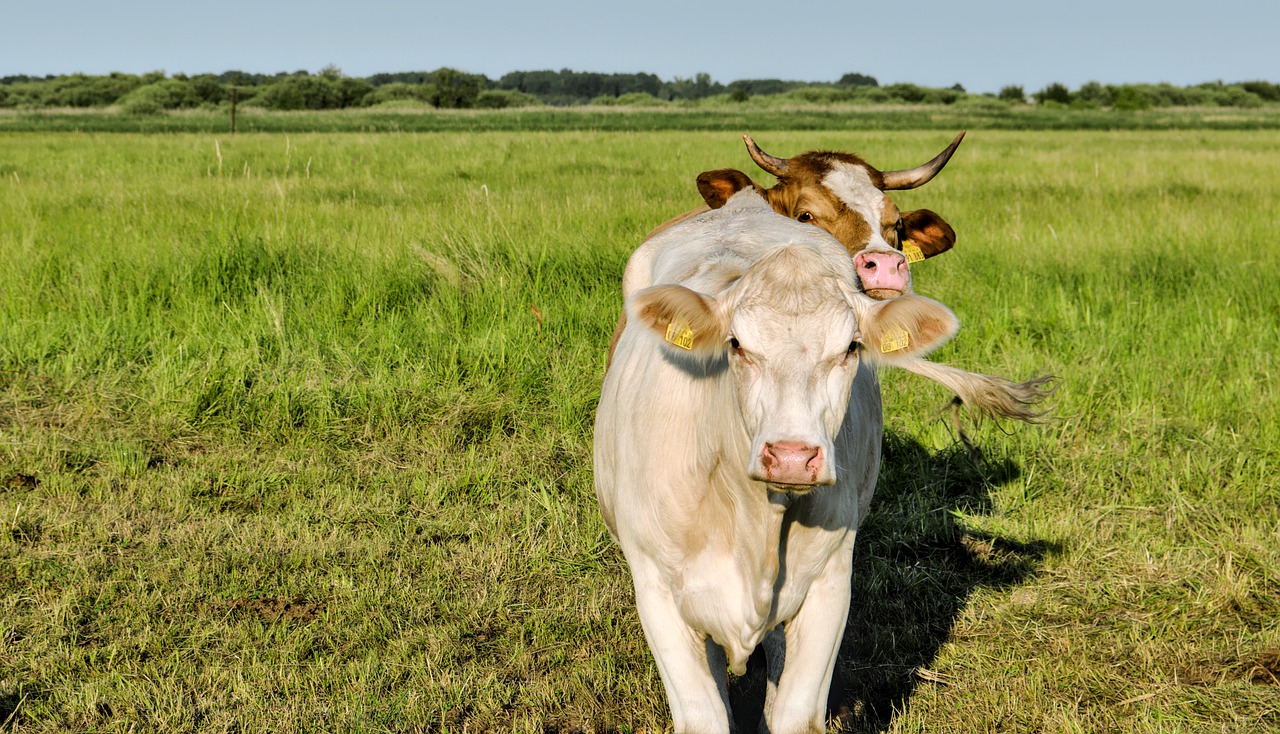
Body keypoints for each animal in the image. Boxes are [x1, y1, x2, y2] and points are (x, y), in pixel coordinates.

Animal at [593, 190, 1044, 732]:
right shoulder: (657, 590)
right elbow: (705, 716)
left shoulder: (830, 584)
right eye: (737, 345)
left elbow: (795, 712)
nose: (792, 457)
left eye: (850, 348)